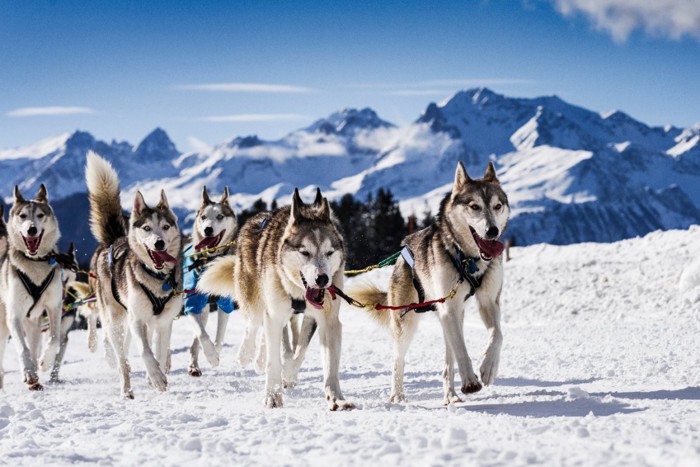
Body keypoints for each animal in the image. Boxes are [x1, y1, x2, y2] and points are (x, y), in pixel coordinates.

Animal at [0, 186, 63, 392]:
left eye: (40, 215)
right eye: (22, 215)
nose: (31, 229)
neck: (34, 263)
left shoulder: (54, 306)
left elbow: (54, 339)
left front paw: (45, 361)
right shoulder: (14, 316)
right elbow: (22, 349)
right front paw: (27, 373)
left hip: (33, 323)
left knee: (35, 345)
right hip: (3, 324)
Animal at [86, 151, 183, 398]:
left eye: (165, 227)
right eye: (147, 228)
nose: (159, 243)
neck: (157, 278)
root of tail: (112, 240)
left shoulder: (164, 322)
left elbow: (159, 351)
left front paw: (158, 375)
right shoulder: (137, 320)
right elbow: (146, 352)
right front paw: (156, 377)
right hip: (115, 321)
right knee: (122, 360)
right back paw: (126, 388)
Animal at [183, 186, 238, 376]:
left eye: (220, 216)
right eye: (204, 217)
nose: (208, 229)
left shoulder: (225, 303)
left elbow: (219, 337)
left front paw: (215, 354)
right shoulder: (191, 303)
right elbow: (203, 335)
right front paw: (212, 356)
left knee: (195, 341)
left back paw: (194, 365)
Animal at [198, 188, 356, 412]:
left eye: (329, 252)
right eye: (304, 252)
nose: (322, 279)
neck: (298, 291)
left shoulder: (327, 321)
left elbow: (321, 362)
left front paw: (335, 398)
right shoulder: (276, 313)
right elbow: (274, 361)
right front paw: (273, 396)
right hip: (255, 297)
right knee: (254, 324)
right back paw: (247, 354)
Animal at [348, 164, 508, 406]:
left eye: (497, 206)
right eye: (474, 206)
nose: (492, 231)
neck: (468, 260)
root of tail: (402, 254)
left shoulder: (488, 302)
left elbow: (497, 335)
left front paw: (488, 368)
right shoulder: (449, 308)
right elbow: (462, 350)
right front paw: (470, 381)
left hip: (450, 316)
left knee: (448, 362)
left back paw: (450, 395)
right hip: (408, 321)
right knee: (398, 360)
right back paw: (397, 395)